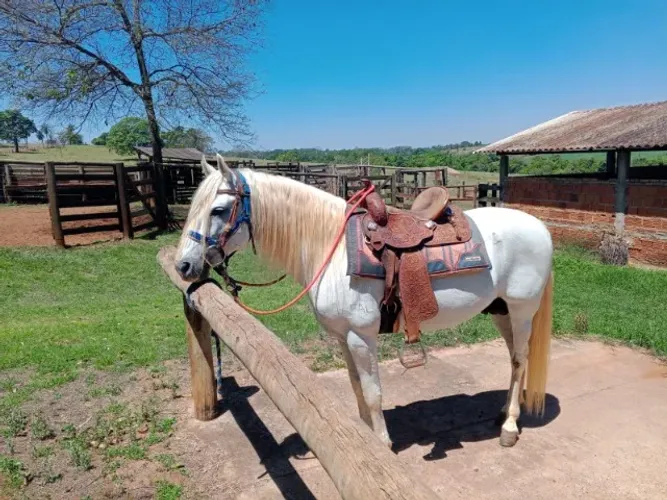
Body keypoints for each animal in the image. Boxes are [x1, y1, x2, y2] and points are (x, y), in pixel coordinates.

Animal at [175, 154, 553, 449]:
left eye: (218, 209)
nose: (183, 266)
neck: (332, 250)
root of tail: (540, 227)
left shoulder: (361, 336)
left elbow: (373, 393)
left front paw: (382, 444)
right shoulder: (343, 338)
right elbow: (357, 387)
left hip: (522, 310)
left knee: (520, 359)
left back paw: (509, 427)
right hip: (500, 310)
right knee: (513, 359)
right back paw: (504, 412)